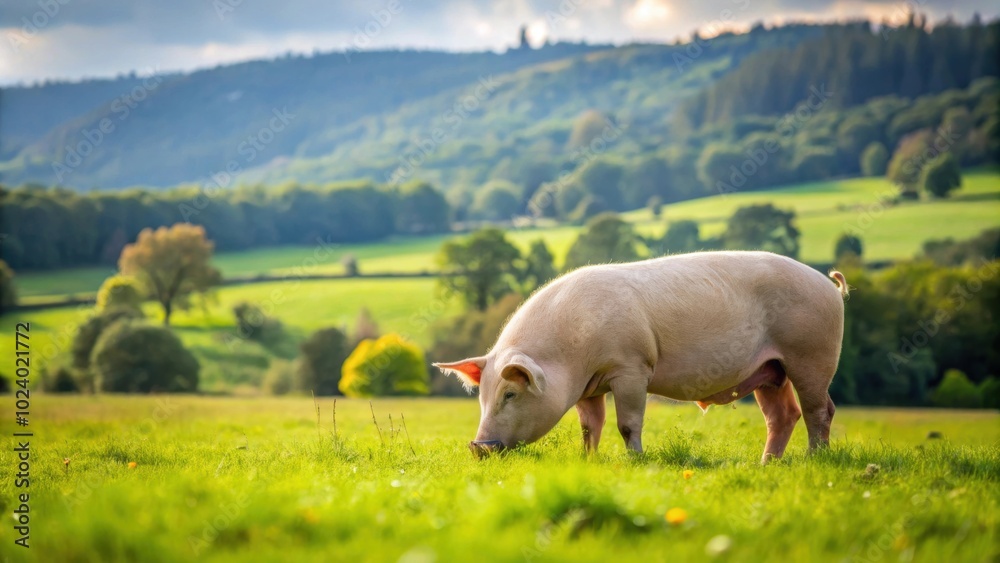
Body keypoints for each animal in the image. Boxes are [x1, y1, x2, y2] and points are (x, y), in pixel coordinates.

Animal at [434, 251, 849, 464]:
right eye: (482, 396)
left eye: (511, 393)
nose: (479, 446)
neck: (572, 354)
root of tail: (828, 284)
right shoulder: (588, 387)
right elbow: (590, 426)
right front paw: (588, 459)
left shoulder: (632, 368)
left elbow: (627, 423)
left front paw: (635, 459)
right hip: (769, 370)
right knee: (783, 415)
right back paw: (766, 464)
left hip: (811, 355)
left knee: (819, 410)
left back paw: (816, 459)